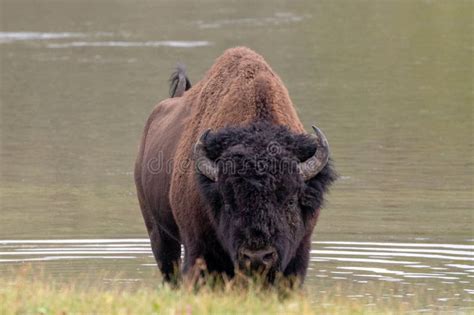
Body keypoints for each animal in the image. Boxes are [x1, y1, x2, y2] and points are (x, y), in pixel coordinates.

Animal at [133, 47, 336, 286]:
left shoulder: (300, 252)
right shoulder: (198, 249)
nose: (257, 256)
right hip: (158, 233)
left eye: (290, 200)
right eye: (228, 201)